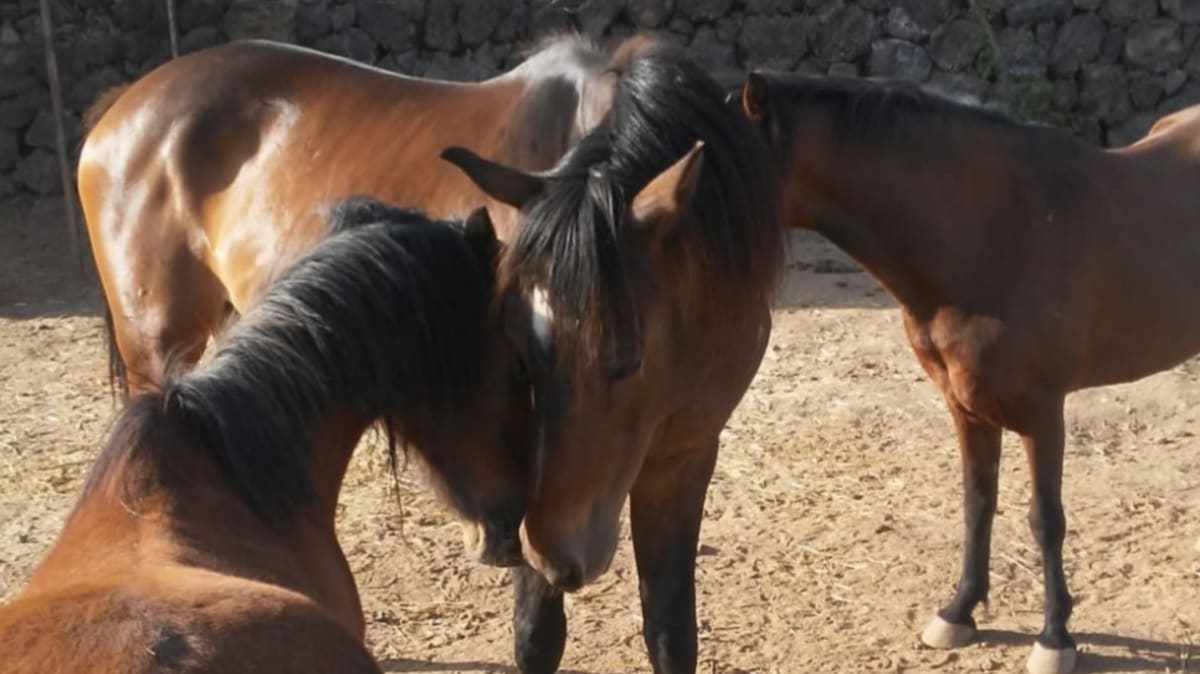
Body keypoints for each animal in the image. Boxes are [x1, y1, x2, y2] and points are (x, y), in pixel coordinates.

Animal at [441, 40, 784, 674]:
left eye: (627, 358)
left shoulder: (685, 454)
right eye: (519, 358)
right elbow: (537, 636)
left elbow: (672, 632)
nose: (560, 554)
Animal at [737, 71, 1200, 674]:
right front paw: (959, 612)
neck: (992, 231)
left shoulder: (1043, 414)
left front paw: (1055, 637)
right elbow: (977, 504)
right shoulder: (966, 405)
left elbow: (1045, 520)